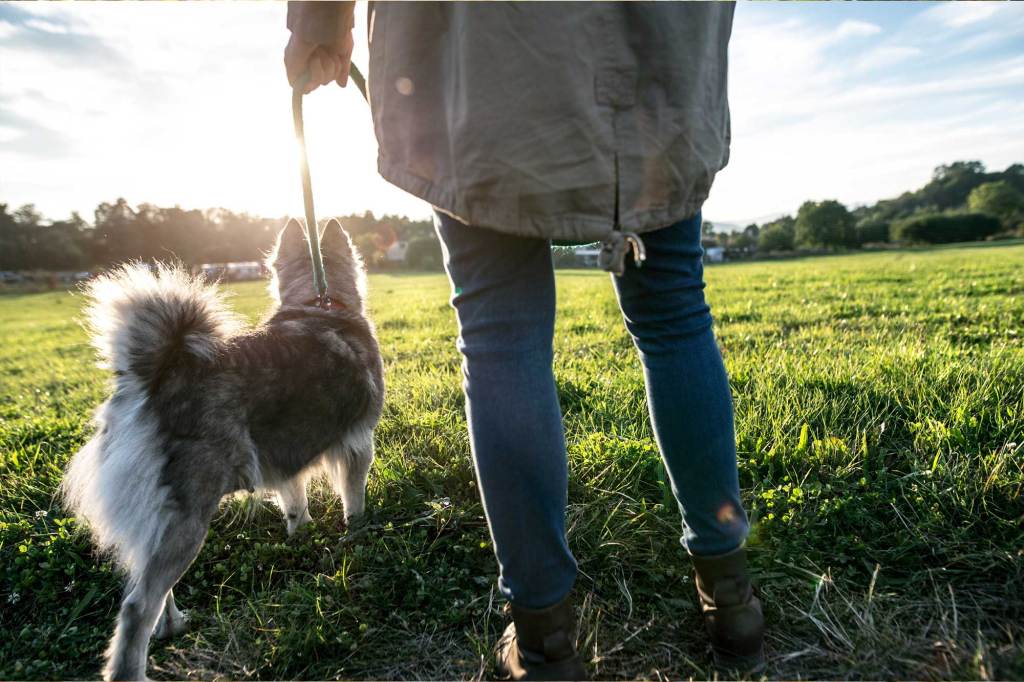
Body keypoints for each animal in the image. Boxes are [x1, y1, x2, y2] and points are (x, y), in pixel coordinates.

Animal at [61, 219, 385, 679]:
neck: (320, 304)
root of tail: (154, 381)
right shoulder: (358, 445)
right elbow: (353, 502)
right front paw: (356, 534)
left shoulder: (281, 461)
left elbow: (294, 504)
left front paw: (301, 536)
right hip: (188, 516)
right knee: (137, 606)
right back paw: (132, 668)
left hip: (161, 520)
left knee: (149, 588)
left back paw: (173, 625)